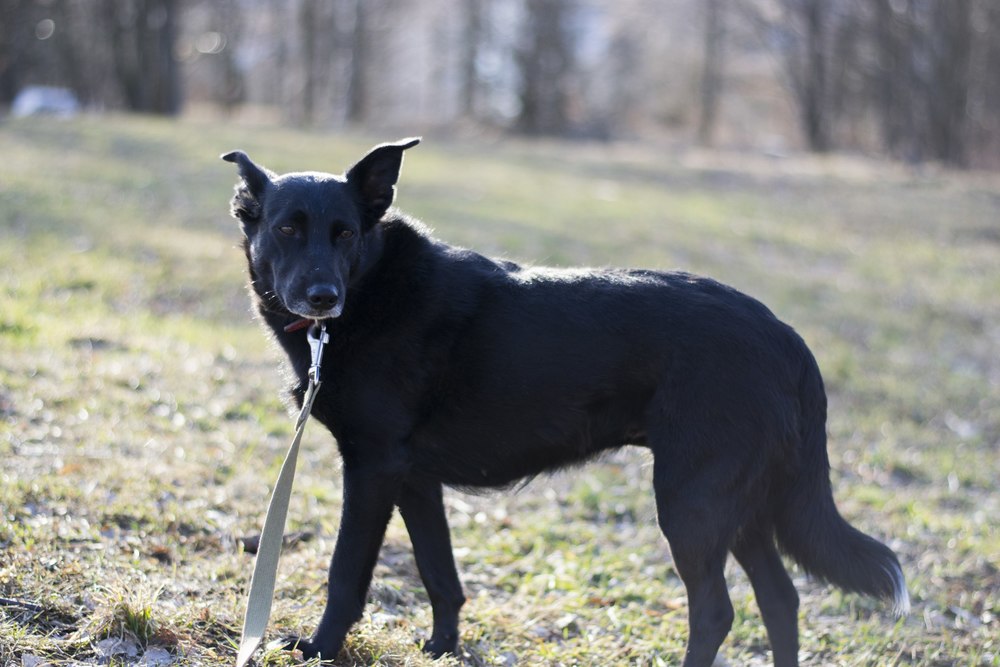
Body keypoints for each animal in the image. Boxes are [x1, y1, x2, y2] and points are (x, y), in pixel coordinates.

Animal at [223, 141, 912, 667]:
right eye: (286, 228)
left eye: (344, 235)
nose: (322, 297)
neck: (369, 290)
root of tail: (786, 338)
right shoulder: (413, 478)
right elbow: (440, 574)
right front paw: (443, 650)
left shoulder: (372, 469)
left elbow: (347, 574)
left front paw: (319, 650)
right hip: (742, 504)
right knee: (781, 600)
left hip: (694, 501)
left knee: (718, 611)